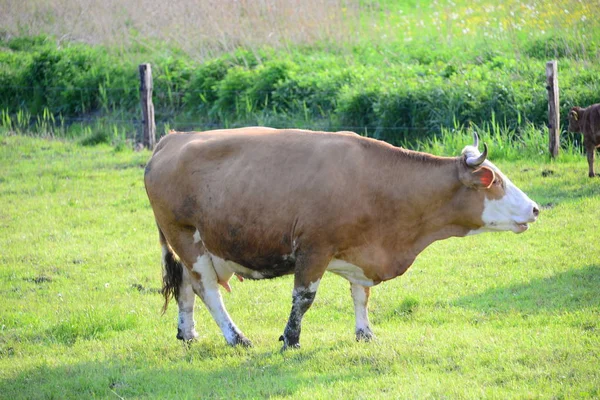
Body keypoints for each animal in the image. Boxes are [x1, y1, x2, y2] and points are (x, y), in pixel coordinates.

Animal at [142, 128, 540, 350]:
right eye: (495, 181)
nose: (535, 209)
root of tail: (173, 139)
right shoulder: (313, 249)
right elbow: (303, 299)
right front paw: (290, 340)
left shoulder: (361, 252)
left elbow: (361, 295)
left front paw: (365, 333)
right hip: (186, 238)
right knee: (208, 291)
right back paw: (236, 338)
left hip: (195, 246)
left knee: (186, 287)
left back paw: (188, 334)